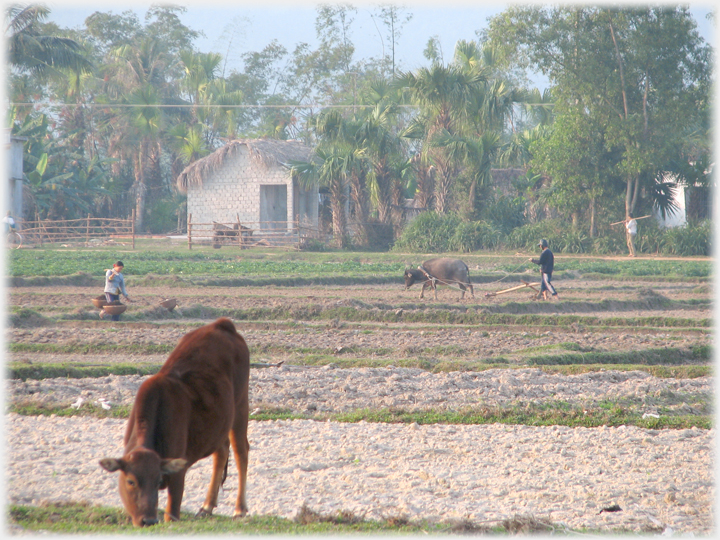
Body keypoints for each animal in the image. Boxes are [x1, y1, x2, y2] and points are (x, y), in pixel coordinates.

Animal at [98, 318, 250, 524]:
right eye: (130, 481)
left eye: (157, 481)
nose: (148, 520)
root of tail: (221, 324)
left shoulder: (178, 472)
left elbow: (172, 512)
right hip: (219, 423)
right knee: (221, 452)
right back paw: (207, 506)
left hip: (241, 406)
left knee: (241, 452)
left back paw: (240, 509)